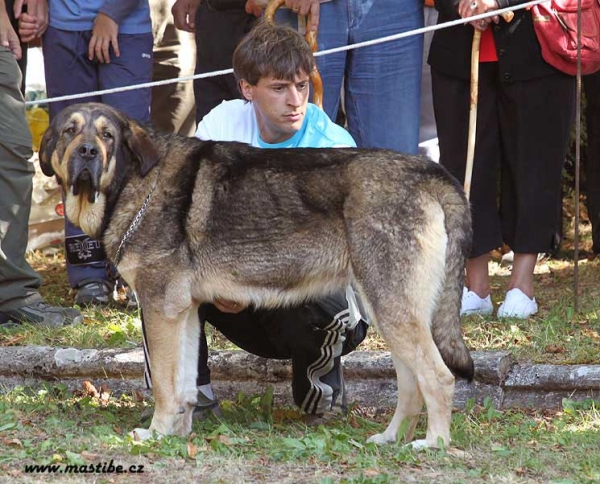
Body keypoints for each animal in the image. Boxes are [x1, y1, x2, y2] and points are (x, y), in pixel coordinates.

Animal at [39, 104, 476, 448]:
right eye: (70, 131)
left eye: (107, 135)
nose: (87, 152)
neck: (136, 182)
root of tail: (428, 171)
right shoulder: (185, 313)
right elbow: (184, 386)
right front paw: (177, 433)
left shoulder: (159, 310)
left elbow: (164, 384)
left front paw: (156, 433)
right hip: (390, 312)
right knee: (411, 386)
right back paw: (390, 438)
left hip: (394, 311)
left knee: (439, 377)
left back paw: (434, 444)